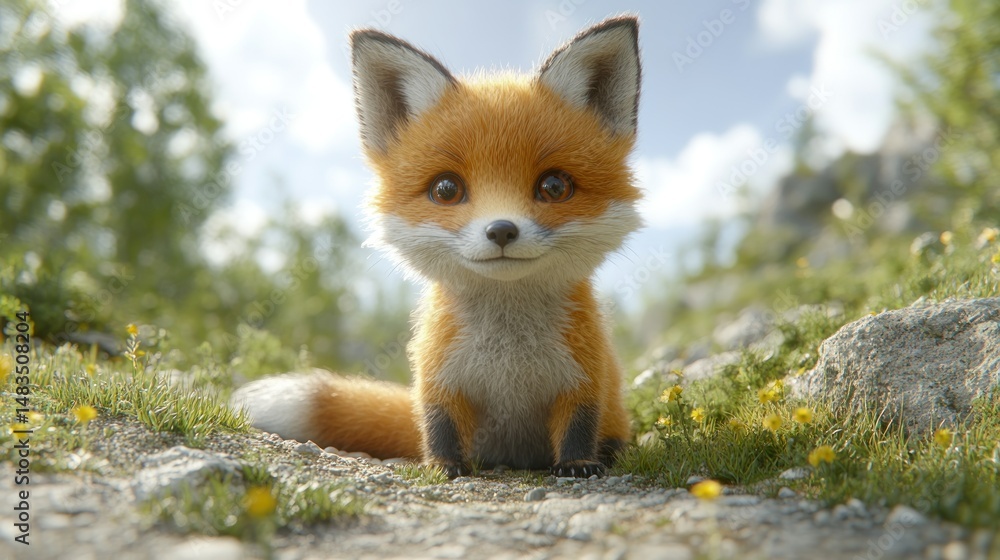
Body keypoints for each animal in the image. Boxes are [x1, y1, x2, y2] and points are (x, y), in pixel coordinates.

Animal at [231, 16, 643, 478]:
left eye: (554, 186)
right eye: (446, 189)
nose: (502, 230)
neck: (509, 358)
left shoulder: (584, 377)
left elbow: (578, 425)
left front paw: (578, 464)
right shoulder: (438, 378)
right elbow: (439, 426)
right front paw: (442, 467)